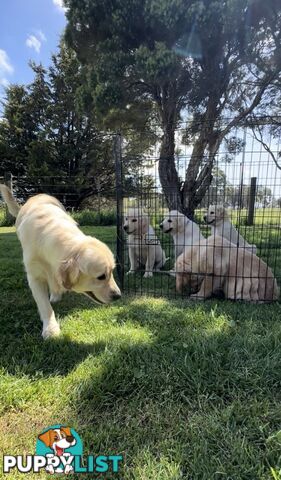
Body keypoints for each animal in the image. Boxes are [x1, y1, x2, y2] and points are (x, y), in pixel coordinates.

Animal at [0, 186, 120, 340]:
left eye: (112, 272)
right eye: (101, 277)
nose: (118, 296)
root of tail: (39, 195)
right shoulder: (34, 276)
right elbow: (44, 305)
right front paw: (50, 329)